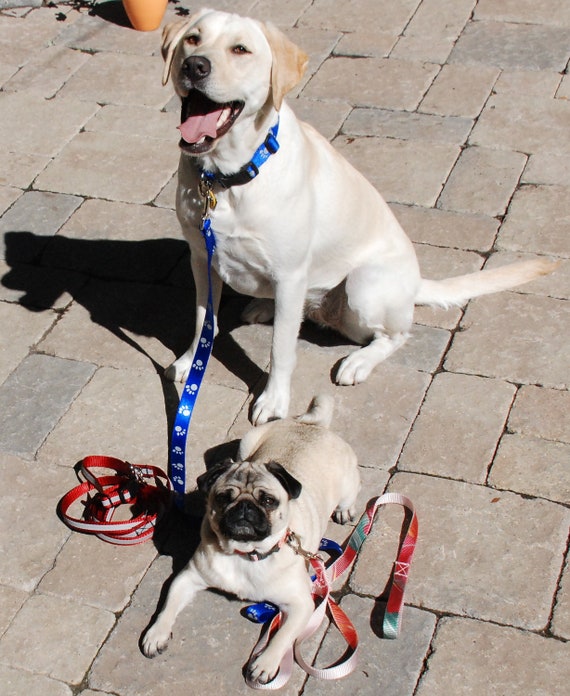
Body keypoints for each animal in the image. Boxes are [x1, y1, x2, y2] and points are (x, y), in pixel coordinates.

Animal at [140, 394, 358, 684]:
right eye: (224, 498)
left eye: (268, 501)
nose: (244, 507)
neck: (245, 554)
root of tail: (314, 427)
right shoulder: (187, 579)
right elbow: (168, 605)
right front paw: (156, 633)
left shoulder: (301, 604)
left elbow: (282, 636)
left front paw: (265, 663)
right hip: (246, 444)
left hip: (347, 485)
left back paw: (345, 510)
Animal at [161, 9, 556, 424]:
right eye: (193, 39)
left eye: (240, 49)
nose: (195, 65)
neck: (224, 177)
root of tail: (415, 283)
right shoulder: (202, 258)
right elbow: (204, 321)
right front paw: (190, 363)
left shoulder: (289, 273)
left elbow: (281, 349)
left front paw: (274, 400)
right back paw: (265, 306)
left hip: (362, 287)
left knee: (396, 334)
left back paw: (358, 362)